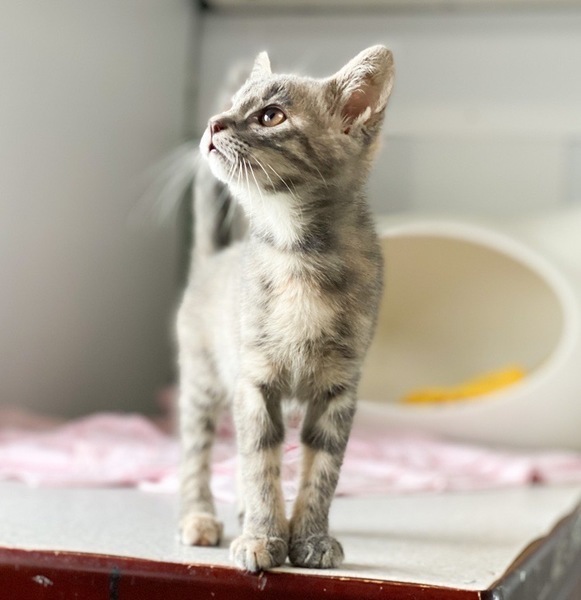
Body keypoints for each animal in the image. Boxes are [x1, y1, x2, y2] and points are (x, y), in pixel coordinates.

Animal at [177, 45, 394, 572]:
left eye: (270, 116)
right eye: (233, 105)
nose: (213, 123)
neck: (297, 253)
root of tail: (213, 259)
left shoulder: (340, 389)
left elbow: (323, 470)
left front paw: (310, 537)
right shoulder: (255, 382)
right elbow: (261, 463)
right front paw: (262, 537)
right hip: (202, 380)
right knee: (196, 453)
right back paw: (200, 516)